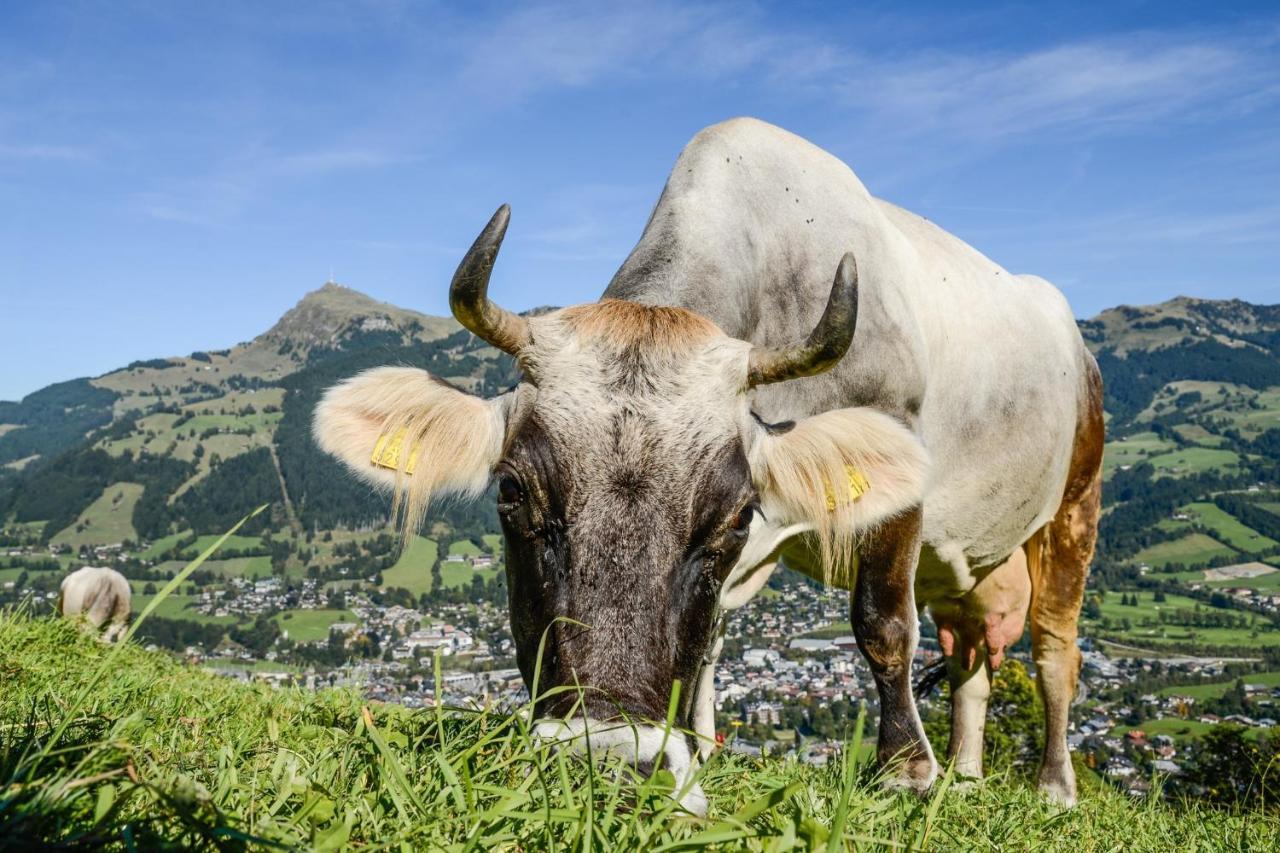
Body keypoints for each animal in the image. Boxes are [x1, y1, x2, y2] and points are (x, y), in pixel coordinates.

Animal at [317, 116, 1100, 809]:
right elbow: (709, 642)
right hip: (966, 561)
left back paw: (1053, 787)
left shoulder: (896, 457)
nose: (607, 758)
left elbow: (882, 622)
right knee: (972, 660)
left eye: (738, 513)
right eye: (511, 492)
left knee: (1055, 652)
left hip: (1074, 506)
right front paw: (699, 747)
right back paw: (967, 776)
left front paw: (905, 768)